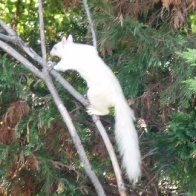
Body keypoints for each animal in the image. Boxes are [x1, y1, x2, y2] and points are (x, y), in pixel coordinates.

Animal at [50, 34, 142, 183]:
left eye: (55, 47)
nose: (50, 53)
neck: (72, 48)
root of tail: (119, 99)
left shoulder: (69, 61)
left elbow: (62, 66)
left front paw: (50, 65)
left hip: (95, 94)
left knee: (106, 110)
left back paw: (94, 110)